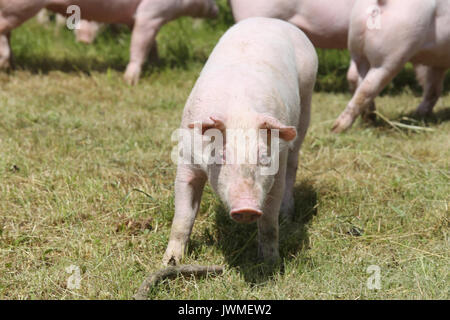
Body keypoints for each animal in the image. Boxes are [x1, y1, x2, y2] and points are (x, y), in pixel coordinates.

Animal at [0, 0, 218, 84]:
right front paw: (129, 81)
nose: (216, 11)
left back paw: (11, 65)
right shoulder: (151, 14)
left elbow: (151, 44)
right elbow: (139, 44)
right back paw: (4, 65)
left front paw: (156, 64)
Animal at [162, 17, 316, 264]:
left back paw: (287, 215)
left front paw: (270, 263)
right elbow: (183, 215)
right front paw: (170, 262)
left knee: (294, 163)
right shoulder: (187, 158)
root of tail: (272, 20)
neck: (239, 111)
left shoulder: (278, 163)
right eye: (222, 155)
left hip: (307, 98)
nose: (247, 208)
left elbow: (269, 222)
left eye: (264, 157)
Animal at [330, 0, 450, 132]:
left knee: (361, 82)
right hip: (392, 54)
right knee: (367, 89)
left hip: (358, 50)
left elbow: (433, 88)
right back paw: (336, 129)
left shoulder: (438, 62)